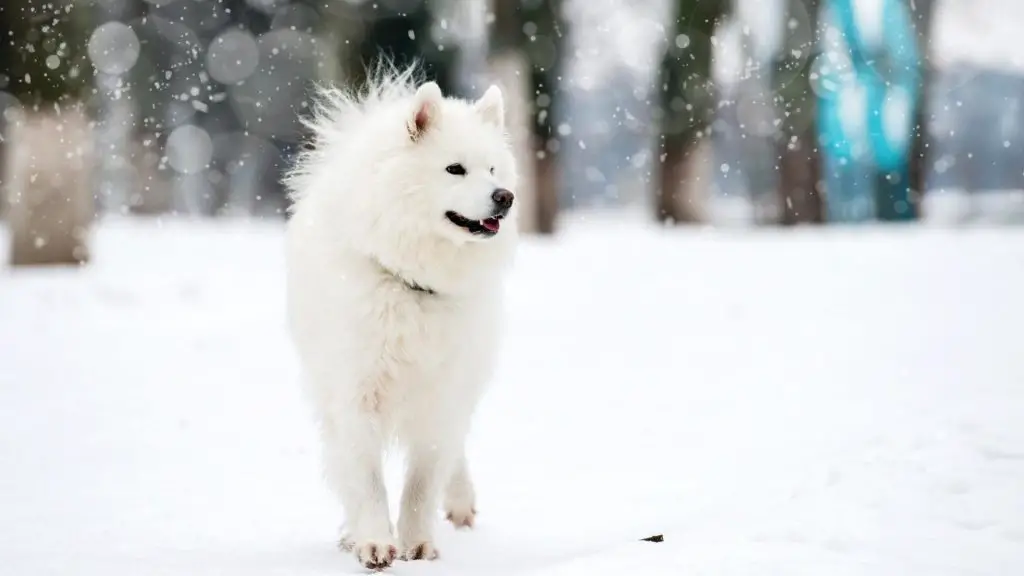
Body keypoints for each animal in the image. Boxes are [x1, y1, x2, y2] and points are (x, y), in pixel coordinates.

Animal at [282, 63, 516, 569]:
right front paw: (373, 542)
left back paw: (461, 501)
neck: (412, 284)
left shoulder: (441, 394)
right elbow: (366, 480)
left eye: (492, 169)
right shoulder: (355, 392)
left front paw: (418, 543)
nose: (504, 196)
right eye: (455, 169)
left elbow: (423, 482)